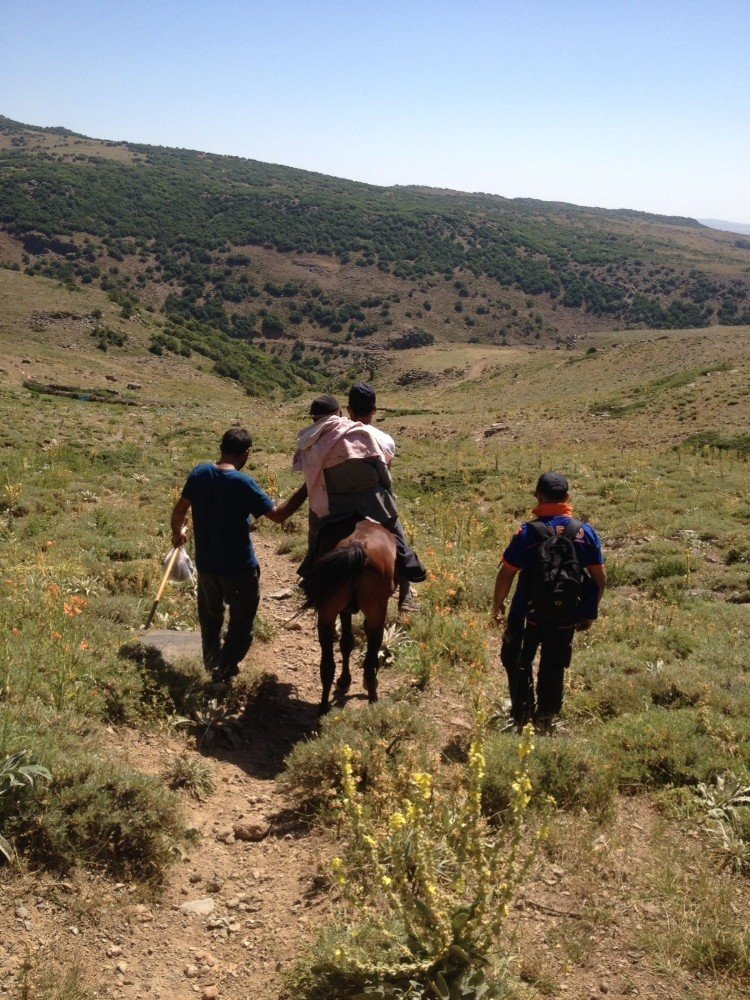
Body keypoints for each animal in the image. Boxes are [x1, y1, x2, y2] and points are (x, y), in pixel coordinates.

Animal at [300, 520, 400, 716]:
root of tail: (357, 546)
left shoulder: (344, 610)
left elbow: (346, 643)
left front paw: (344, 681)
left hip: (327, 613)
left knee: (327, 665)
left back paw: (323, 708)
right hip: (376, 613)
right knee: (370, 661)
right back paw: (373, 700)